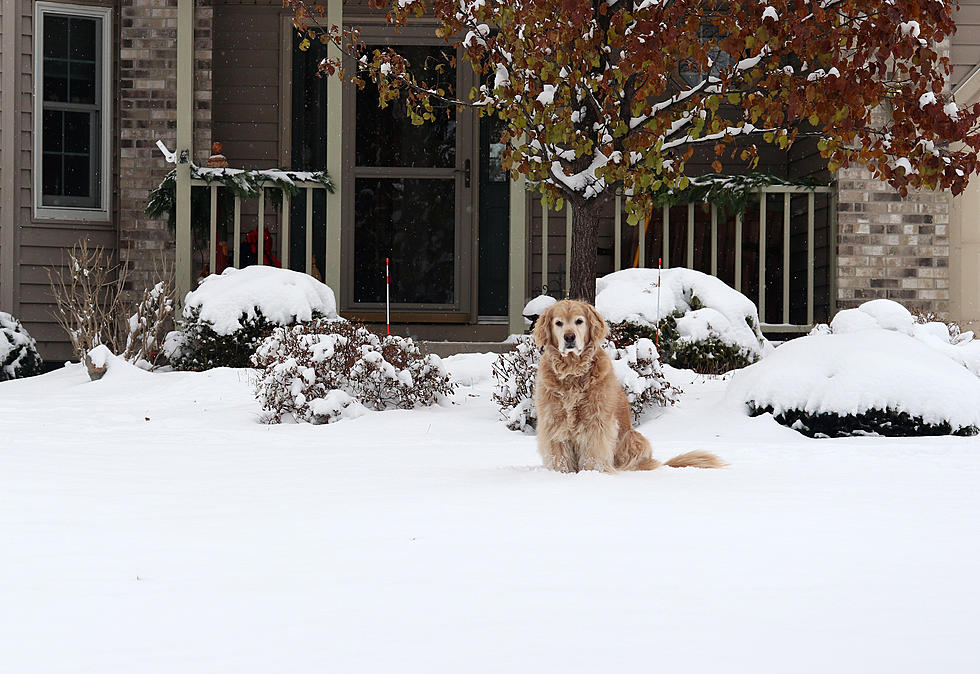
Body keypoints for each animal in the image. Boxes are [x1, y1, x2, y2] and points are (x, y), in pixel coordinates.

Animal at [532, 300, 724, 472]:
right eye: (558, 323)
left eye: (579, 321)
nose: (569, 337)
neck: (573, 371)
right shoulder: (554, 422)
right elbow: (559, 457)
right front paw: (560, 474)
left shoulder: (596, 423)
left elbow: (593, 456)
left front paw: (592, 474)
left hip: (635, 439)